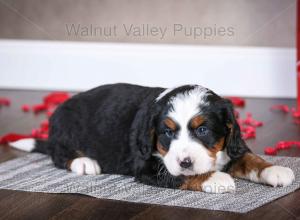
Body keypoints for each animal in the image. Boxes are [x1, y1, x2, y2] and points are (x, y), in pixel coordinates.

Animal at [11, 83, 292, 193]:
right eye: (167, 132)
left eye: (202, 130)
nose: (186, 161)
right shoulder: (147, 166)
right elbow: (179, 175)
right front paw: (215, 178)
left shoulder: (231, 146)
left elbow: (250, 158)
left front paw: (275, 170)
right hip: (64, 130)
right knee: (58, 155)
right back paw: (84, 162)